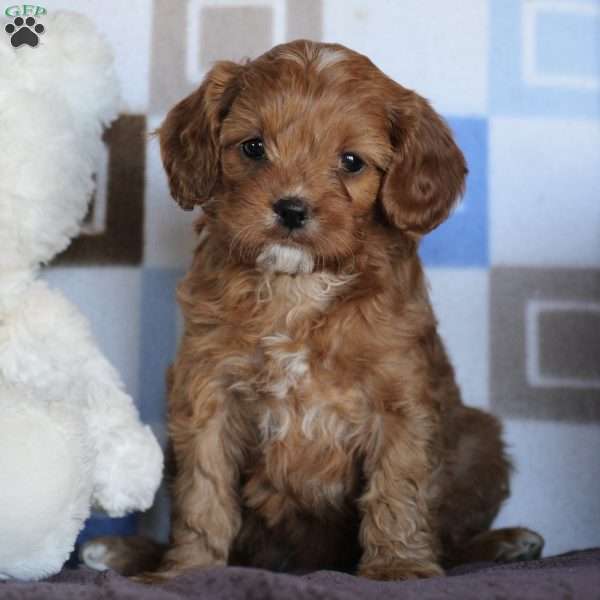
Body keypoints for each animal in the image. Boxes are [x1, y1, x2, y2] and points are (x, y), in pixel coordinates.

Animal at [85, 41, 544, 580]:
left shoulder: (400, 397)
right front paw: (188, 569)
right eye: (253, 147)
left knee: (453, 536)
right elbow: (203, 490)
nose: (291, 209)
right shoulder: (208, 388)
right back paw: (120, 550)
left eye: (351, 161)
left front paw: (398, 565)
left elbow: (398, 486)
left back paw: (507, 542)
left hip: (480, 438)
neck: (297, 286)